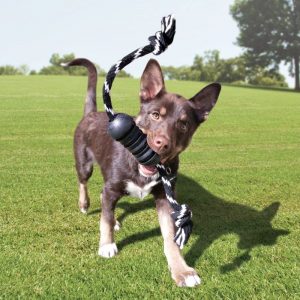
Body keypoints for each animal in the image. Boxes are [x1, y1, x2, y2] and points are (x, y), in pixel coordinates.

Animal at [69, 58, 221, 286]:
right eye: (155, 115)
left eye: (183, 124)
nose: (161, 144)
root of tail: (90, 114)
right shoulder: (112, 187)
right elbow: (104, 219)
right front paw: (106, 245)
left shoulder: (165, 197)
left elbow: (170, 236)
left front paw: (181, 270)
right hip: (84, 164)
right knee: (85, 184)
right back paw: (85, 204)